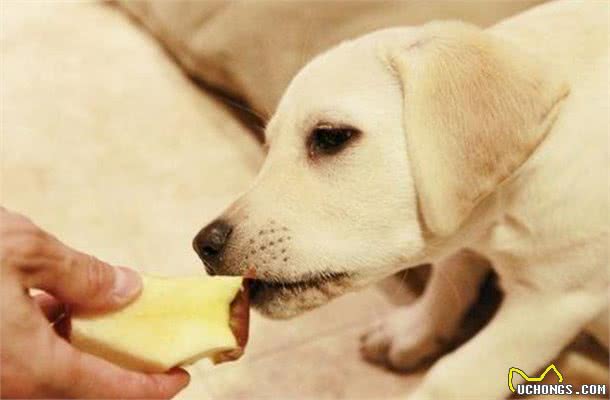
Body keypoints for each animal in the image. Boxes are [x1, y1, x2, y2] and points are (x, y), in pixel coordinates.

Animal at [191, 1, 604, 398]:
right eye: (268, 146)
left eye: (330, 137)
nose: (203, 246)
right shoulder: (464, 233)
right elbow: (449, 277)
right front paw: (411, 332)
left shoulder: (550, 301)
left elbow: (452, 377)